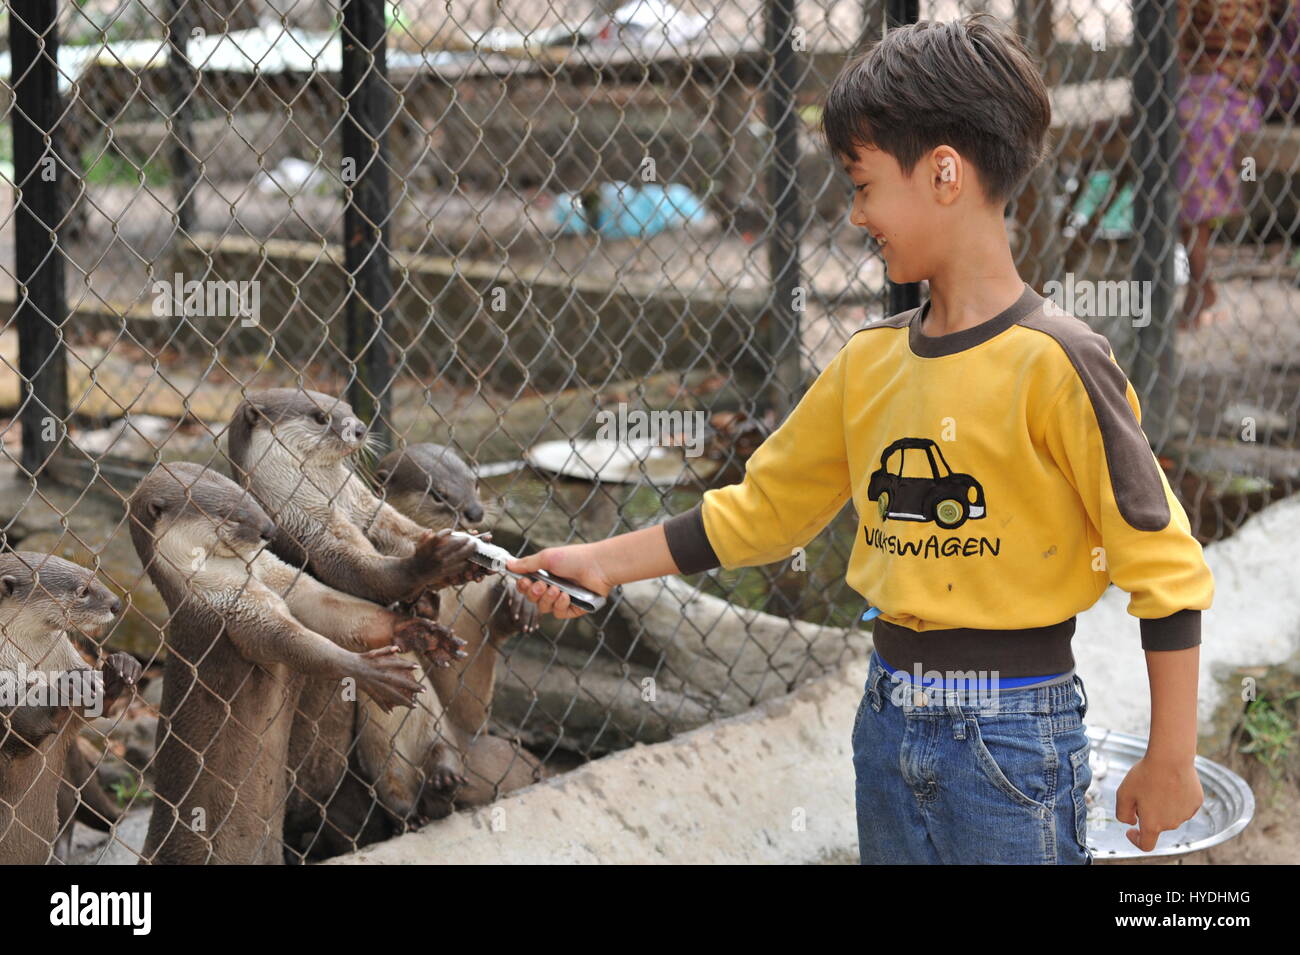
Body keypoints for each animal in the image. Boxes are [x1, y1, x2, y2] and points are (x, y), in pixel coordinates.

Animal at [0, 548, 141, 862]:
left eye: (93, 576)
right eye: (83, 591)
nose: (116, 604)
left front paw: (121, 667)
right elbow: (19, 726)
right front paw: (65, 687)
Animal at [126, 462, 462, 867]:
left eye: (248, 498)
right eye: (228, 512)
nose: (268, 529)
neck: (219, 582)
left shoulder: (280, 578)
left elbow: (334, 608)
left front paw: (420, 612)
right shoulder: (233, 611)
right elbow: (296, 643)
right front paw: (374, 674)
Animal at [377, 444, 543, 810]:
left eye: (476, 483)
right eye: (439, 494)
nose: (475, 511)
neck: (458, 599)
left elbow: (503, 620)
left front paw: (521, 603)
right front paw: (423, 605)